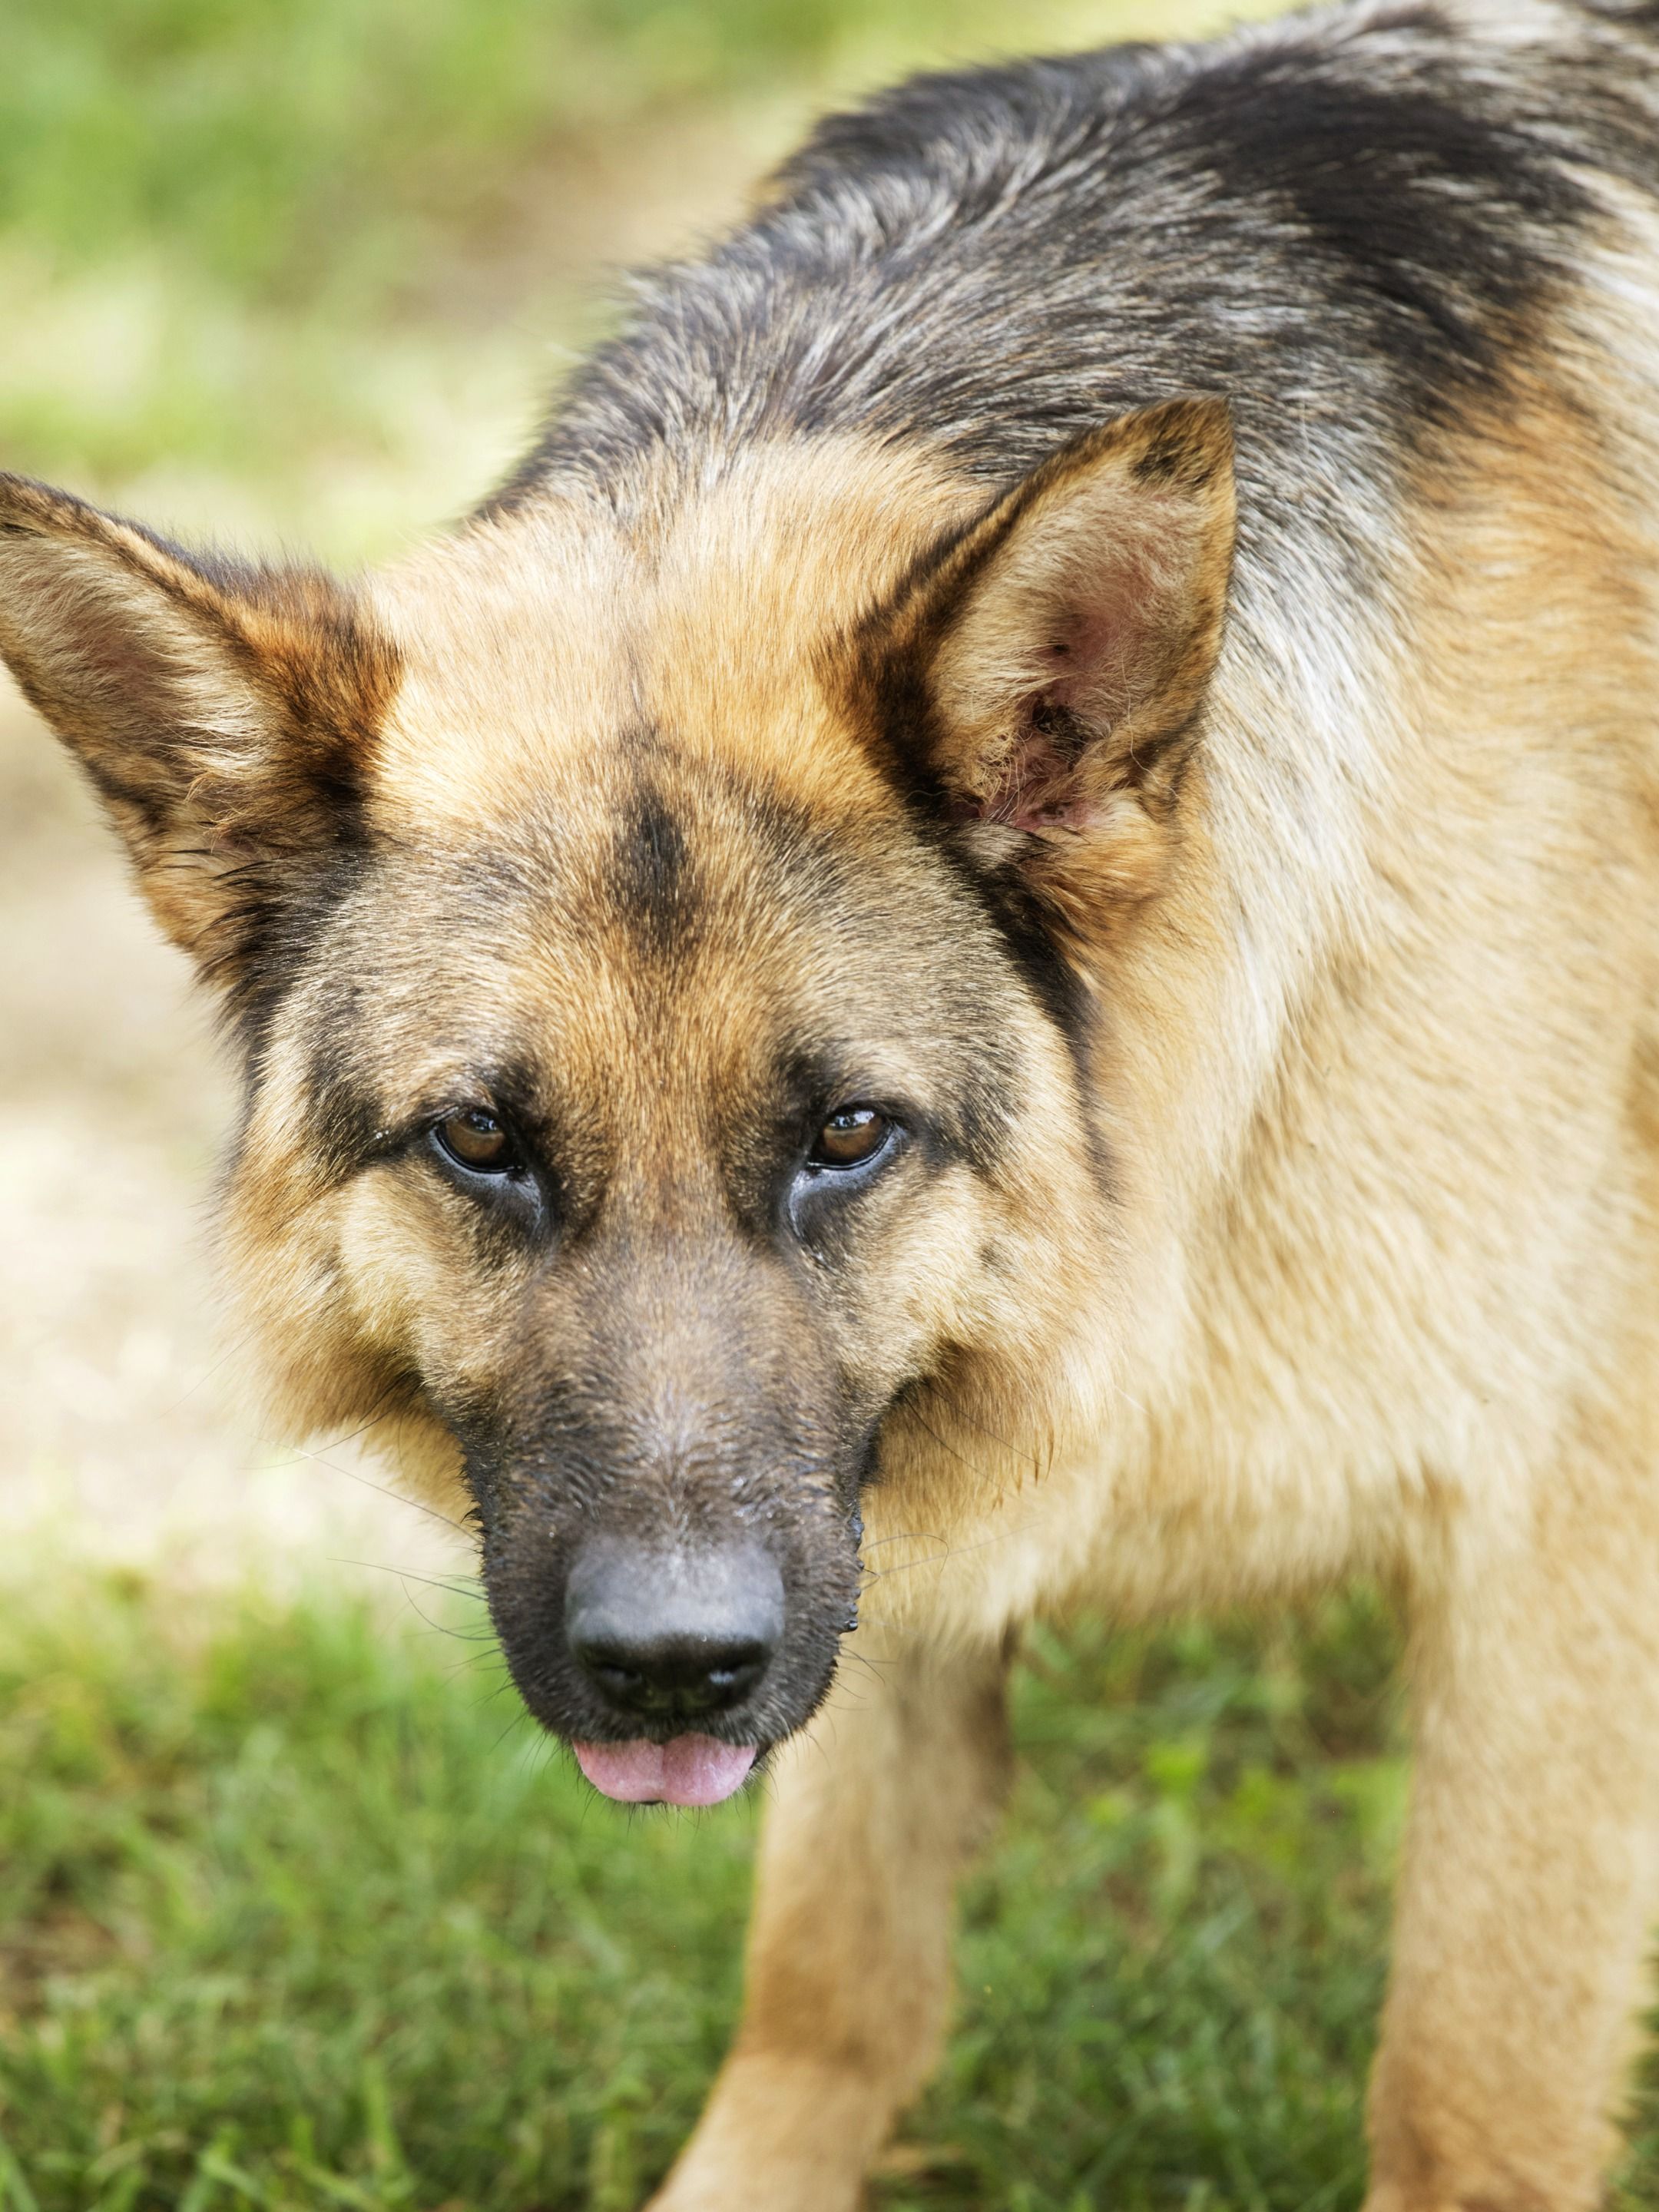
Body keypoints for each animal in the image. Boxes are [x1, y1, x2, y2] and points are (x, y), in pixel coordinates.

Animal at [3, 0, 1659, 2203]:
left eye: (847, 1138)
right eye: (481, 1143)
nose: (666, 1666)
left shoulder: (1557, 1554)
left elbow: (1467, 2087)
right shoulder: (865, 1550)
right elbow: (826, 1986)